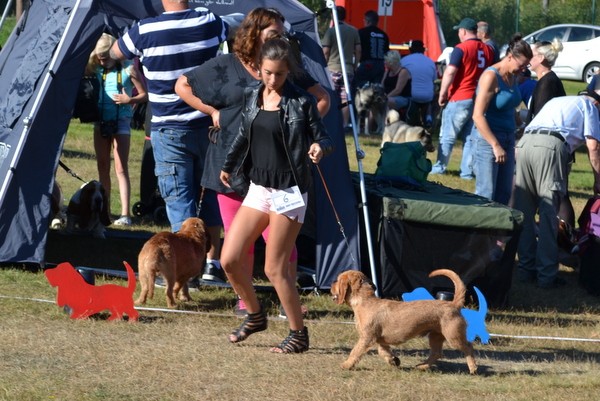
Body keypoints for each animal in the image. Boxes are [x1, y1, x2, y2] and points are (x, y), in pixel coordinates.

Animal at [331, 269, 477, 374]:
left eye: (338, 280)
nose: (331, 286)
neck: (365, 302)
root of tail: (453, 304)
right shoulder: (380, 340)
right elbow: (383, 352)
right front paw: (394, 361)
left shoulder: (367, 338)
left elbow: (355, 351)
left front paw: (346, 365)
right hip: (435, 336)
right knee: (436, 353)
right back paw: (422, 366)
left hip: (453, 336)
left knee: (468, 347)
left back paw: (473, 368)